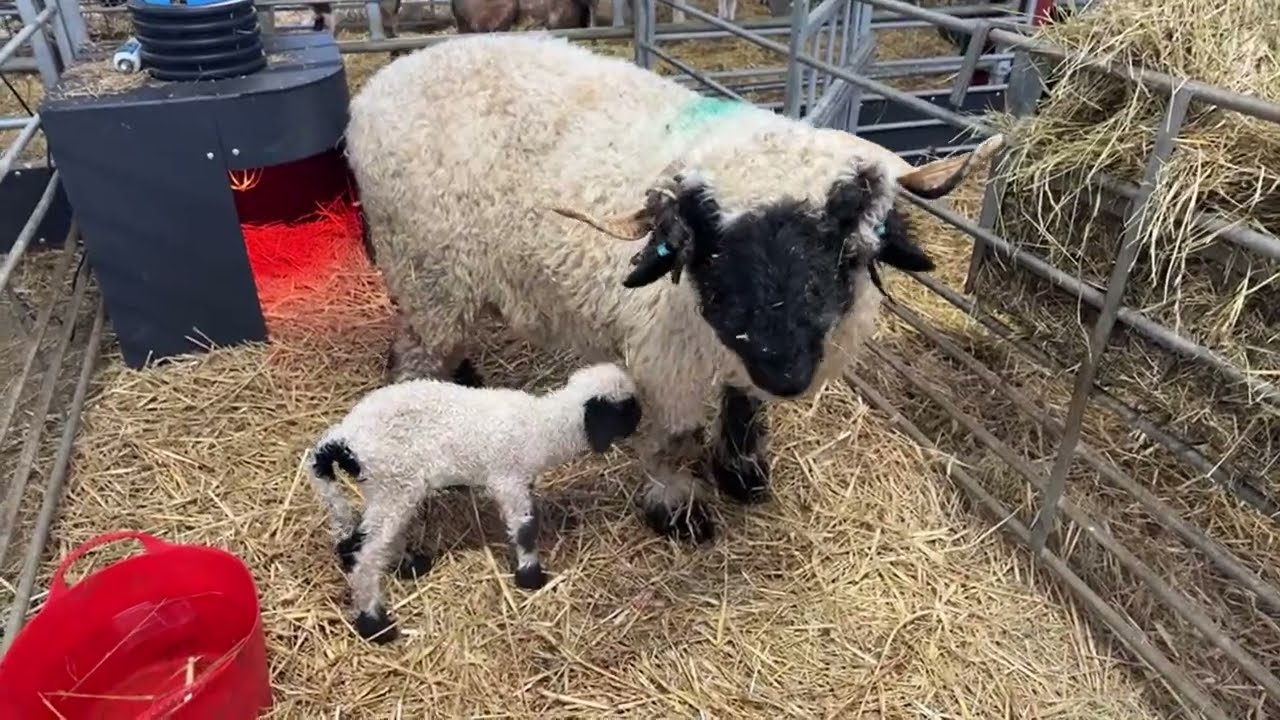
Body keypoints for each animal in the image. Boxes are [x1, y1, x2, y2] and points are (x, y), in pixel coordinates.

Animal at [308, 362, 642, 643]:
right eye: (626, 409)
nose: (641, 422)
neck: (543, 426)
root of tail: (343, 439)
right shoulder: (508, 481)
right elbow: (524, 528)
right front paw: (530, 575)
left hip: (389, 489)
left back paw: (411, 564)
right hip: (394, 483)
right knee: (366, 555)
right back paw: (375, 625)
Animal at [344, 34, 1003, 549]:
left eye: (844, 246)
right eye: (711, 247)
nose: (788, 373)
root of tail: (383, 81)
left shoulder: (739, 354)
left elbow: (744, 406)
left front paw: (741, 473)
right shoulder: (668, 362)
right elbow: (674, 440)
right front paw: (677, 511)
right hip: (428, 273)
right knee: (410, 359)